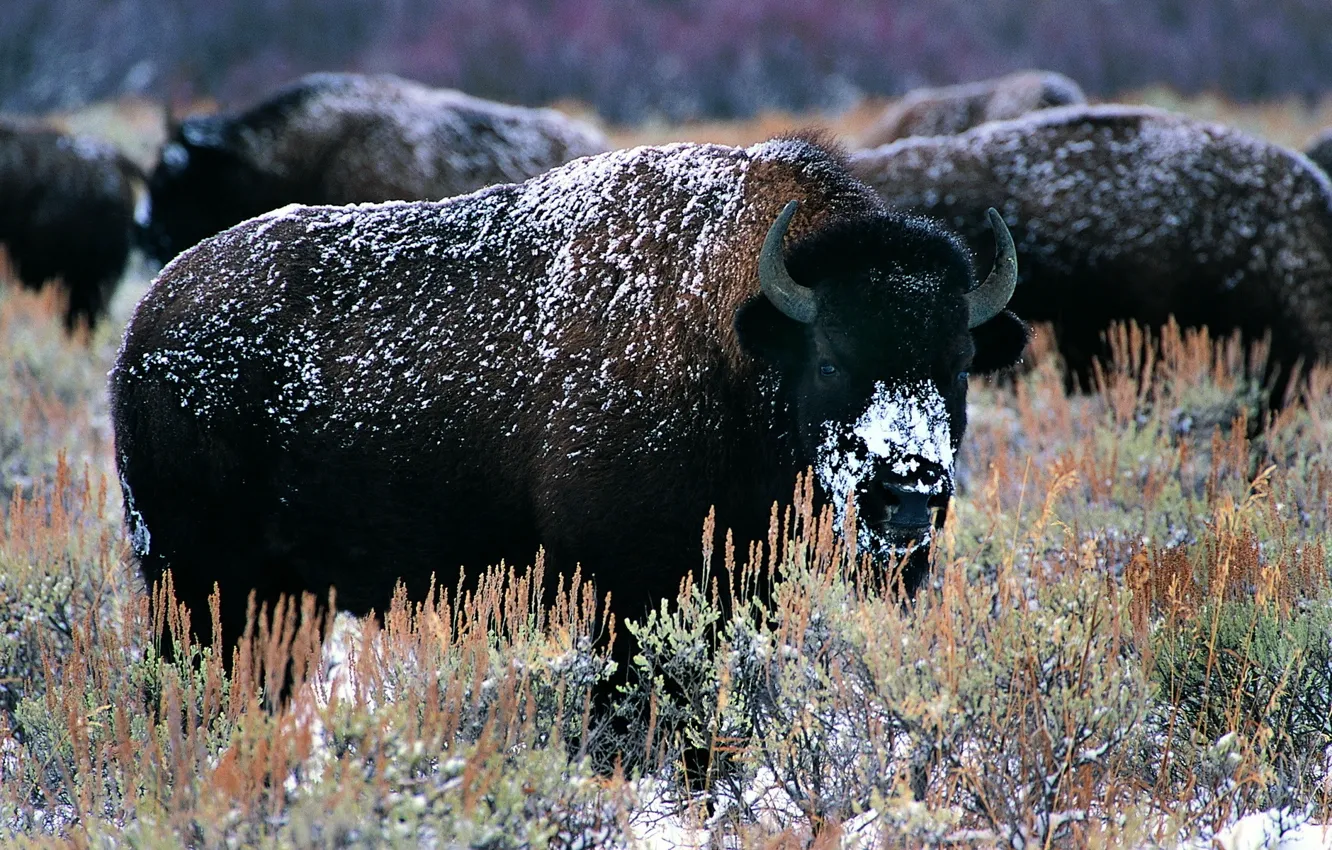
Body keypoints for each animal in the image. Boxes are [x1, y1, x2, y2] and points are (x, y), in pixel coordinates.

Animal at [112, 137, 1026, 679]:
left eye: (958, 366)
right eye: (832, 359)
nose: (909, 494)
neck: (736, 337)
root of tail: (148, 321)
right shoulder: (632, 590)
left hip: (283, 600)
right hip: (194, 581)